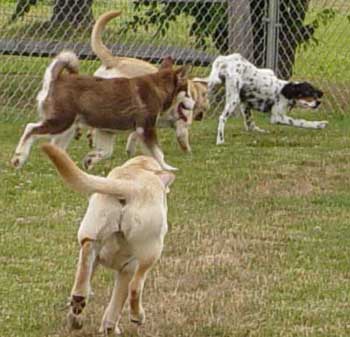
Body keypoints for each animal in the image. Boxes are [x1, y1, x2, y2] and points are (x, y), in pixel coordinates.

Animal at [10, 49, 193, 171]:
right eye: (188, 92)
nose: (194, 104)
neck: (157, 87)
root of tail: (58, 78)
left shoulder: (106, 131)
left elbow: (105, 152)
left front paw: (90, 160)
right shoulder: (146, 129)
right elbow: (158, 153)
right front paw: (168, 168)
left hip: (68, 128)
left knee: (56, 147)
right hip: (60, 122)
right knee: (30, 129)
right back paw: (19, 158)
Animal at [41, 144, 175, 334]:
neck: (139, 168)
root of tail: (129, 185)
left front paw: (76, 318)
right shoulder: (128, 269)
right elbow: (117, 303)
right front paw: (110, 328)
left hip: (92, 230)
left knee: (86, 253)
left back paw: (78, 300)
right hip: (151, 253)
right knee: (135, 287)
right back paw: (137, 316)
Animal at [89, 9, 209, 153]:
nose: (203, 114)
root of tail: (112, 60)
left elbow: (134, 136)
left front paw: (131, 150)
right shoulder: (181, 125)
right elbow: (184, 140)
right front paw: (189, 152)